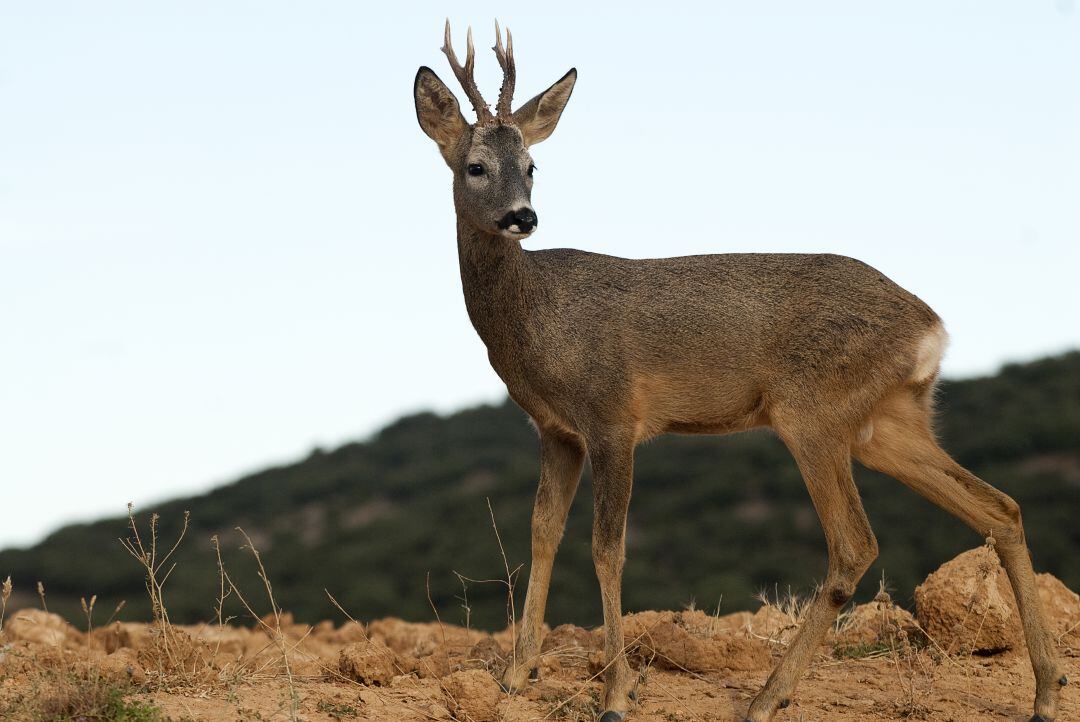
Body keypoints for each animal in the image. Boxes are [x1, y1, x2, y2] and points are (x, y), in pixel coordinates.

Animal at [410, 21, 1062, 720]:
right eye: (476, 166)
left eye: (533, 165)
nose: (523, 217)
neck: (536, 317)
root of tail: (930, 328)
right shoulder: (558, 432)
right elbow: (541, 533)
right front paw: (515, 674)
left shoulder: (613, 416)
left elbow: (606, 549)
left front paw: (615, 691)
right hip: (885, 423)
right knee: (999, 508)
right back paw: (1047, 692)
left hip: (812, 411)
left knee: (855, 544)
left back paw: (767, 697)